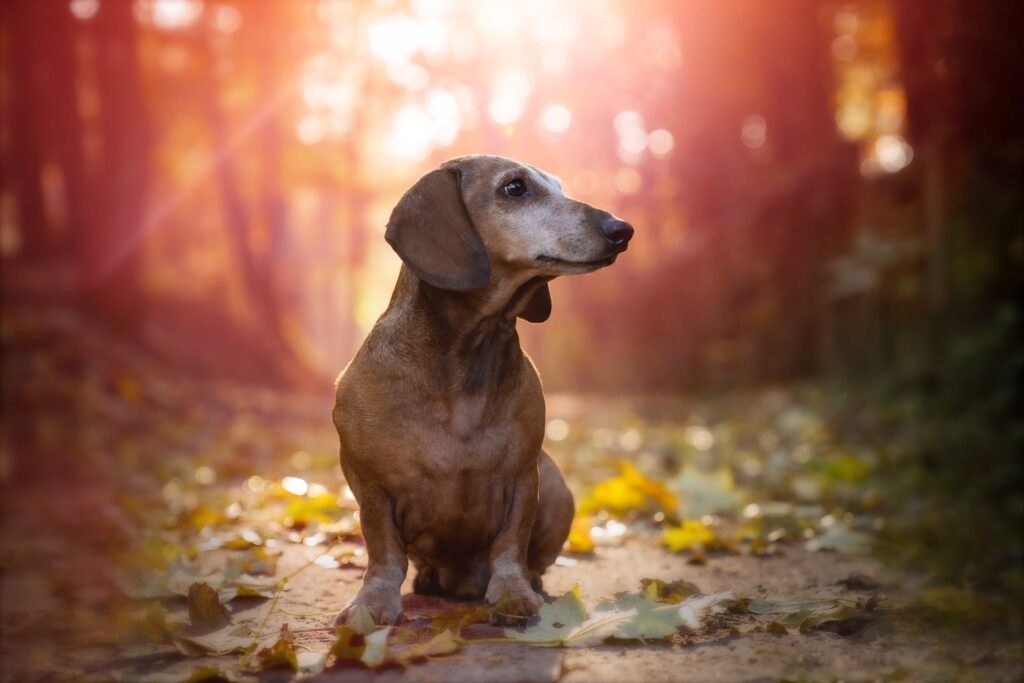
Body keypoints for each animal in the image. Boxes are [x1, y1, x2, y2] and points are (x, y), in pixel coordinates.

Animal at [331, 154, 630, 626]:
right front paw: (373, 602)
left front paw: (512, 593)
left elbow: (510, 546)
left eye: (560, 186)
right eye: (515, 187)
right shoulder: (372, 486)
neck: (468, 352)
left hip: (557, 485)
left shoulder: (523, 477)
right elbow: (384, 554)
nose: (621, 229)